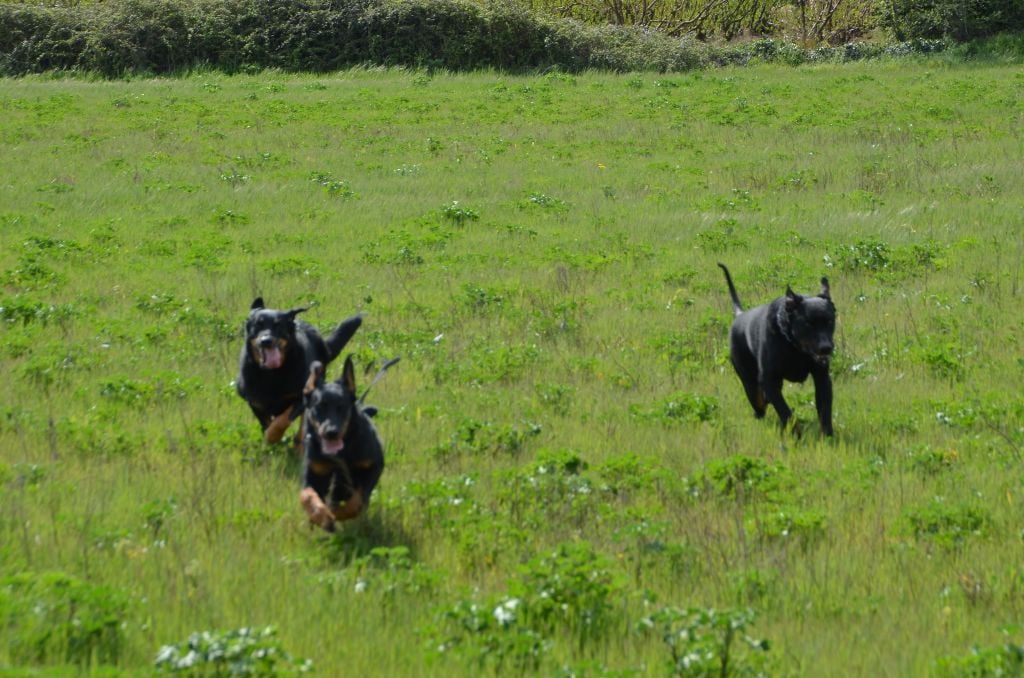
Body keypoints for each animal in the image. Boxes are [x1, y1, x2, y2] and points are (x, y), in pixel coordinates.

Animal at [234, 299, 362, 446]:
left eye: (278, 325)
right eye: (257, 325)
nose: (266, 341)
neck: (272, 374)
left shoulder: (301, 397)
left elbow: (282, 420)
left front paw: (273, 436)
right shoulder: (255, 402)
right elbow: (266, 423)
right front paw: (270, 440)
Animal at [303, 358, 387, 532]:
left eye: (342, 407)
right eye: (319, 406)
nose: (331, 432)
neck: (341, 453)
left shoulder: (373, 465)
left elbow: (357, 500)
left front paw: (338, 513)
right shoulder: (316, 470)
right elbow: (307, 495)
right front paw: (321, 516)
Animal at [716, 262, 835, 438]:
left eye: (830, 322)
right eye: (808, 324)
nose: (826, 347)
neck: (794, 347)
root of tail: (739, 315)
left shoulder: (822, 377)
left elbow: (824, 410)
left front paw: (828, 436)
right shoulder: (769, 379)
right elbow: (784, 411)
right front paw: (796, 434)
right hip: (748, 379)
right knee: (758, 401)